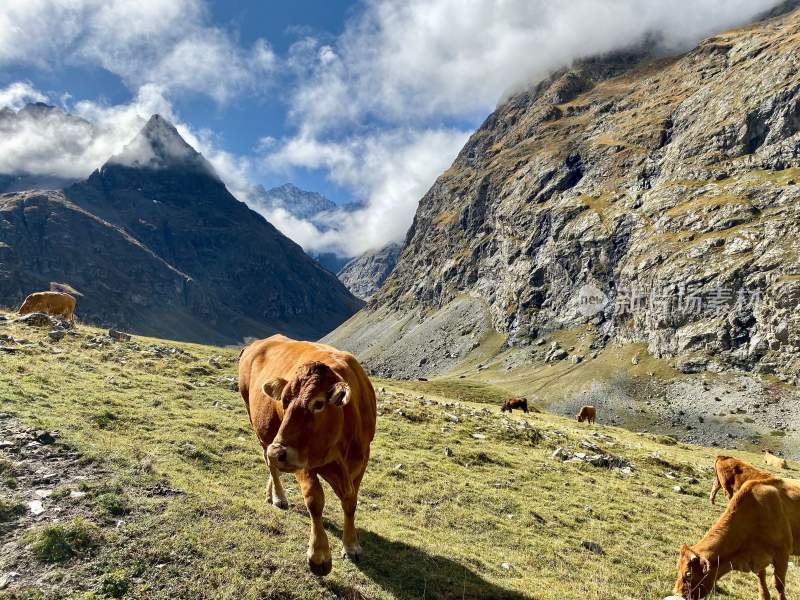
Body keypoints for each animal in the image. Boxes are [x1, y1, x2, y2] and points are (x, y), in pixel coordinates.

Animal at [238, 336, 378, 576]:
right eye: (284, 402)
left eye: (318, 403)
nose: (277, 451)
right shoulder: (301, 460)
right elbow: (314, 500)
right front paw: (319, 555)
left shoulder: (361, 459)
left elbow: (350, 502)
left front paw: (351, 546)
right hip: (257, 424)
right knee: (270, 465)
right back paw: (279, 496)